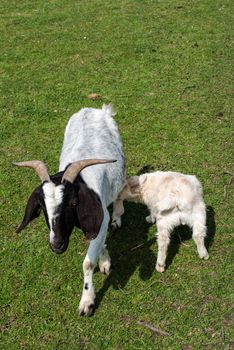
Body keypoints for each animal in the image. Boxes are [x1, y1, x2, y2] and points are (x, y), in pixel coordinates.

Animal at [13, 104, 125, 318]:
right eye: (42, 207)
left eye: (73, 203)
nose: (57, 244)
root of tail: (95, 110)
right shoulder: (96, 222)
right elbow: (99, 242)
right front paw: (104, 261)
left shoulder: (100, 217)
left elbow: (87, 263)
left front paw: (87, 302)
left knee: (119, 193)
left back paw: (117, 218)